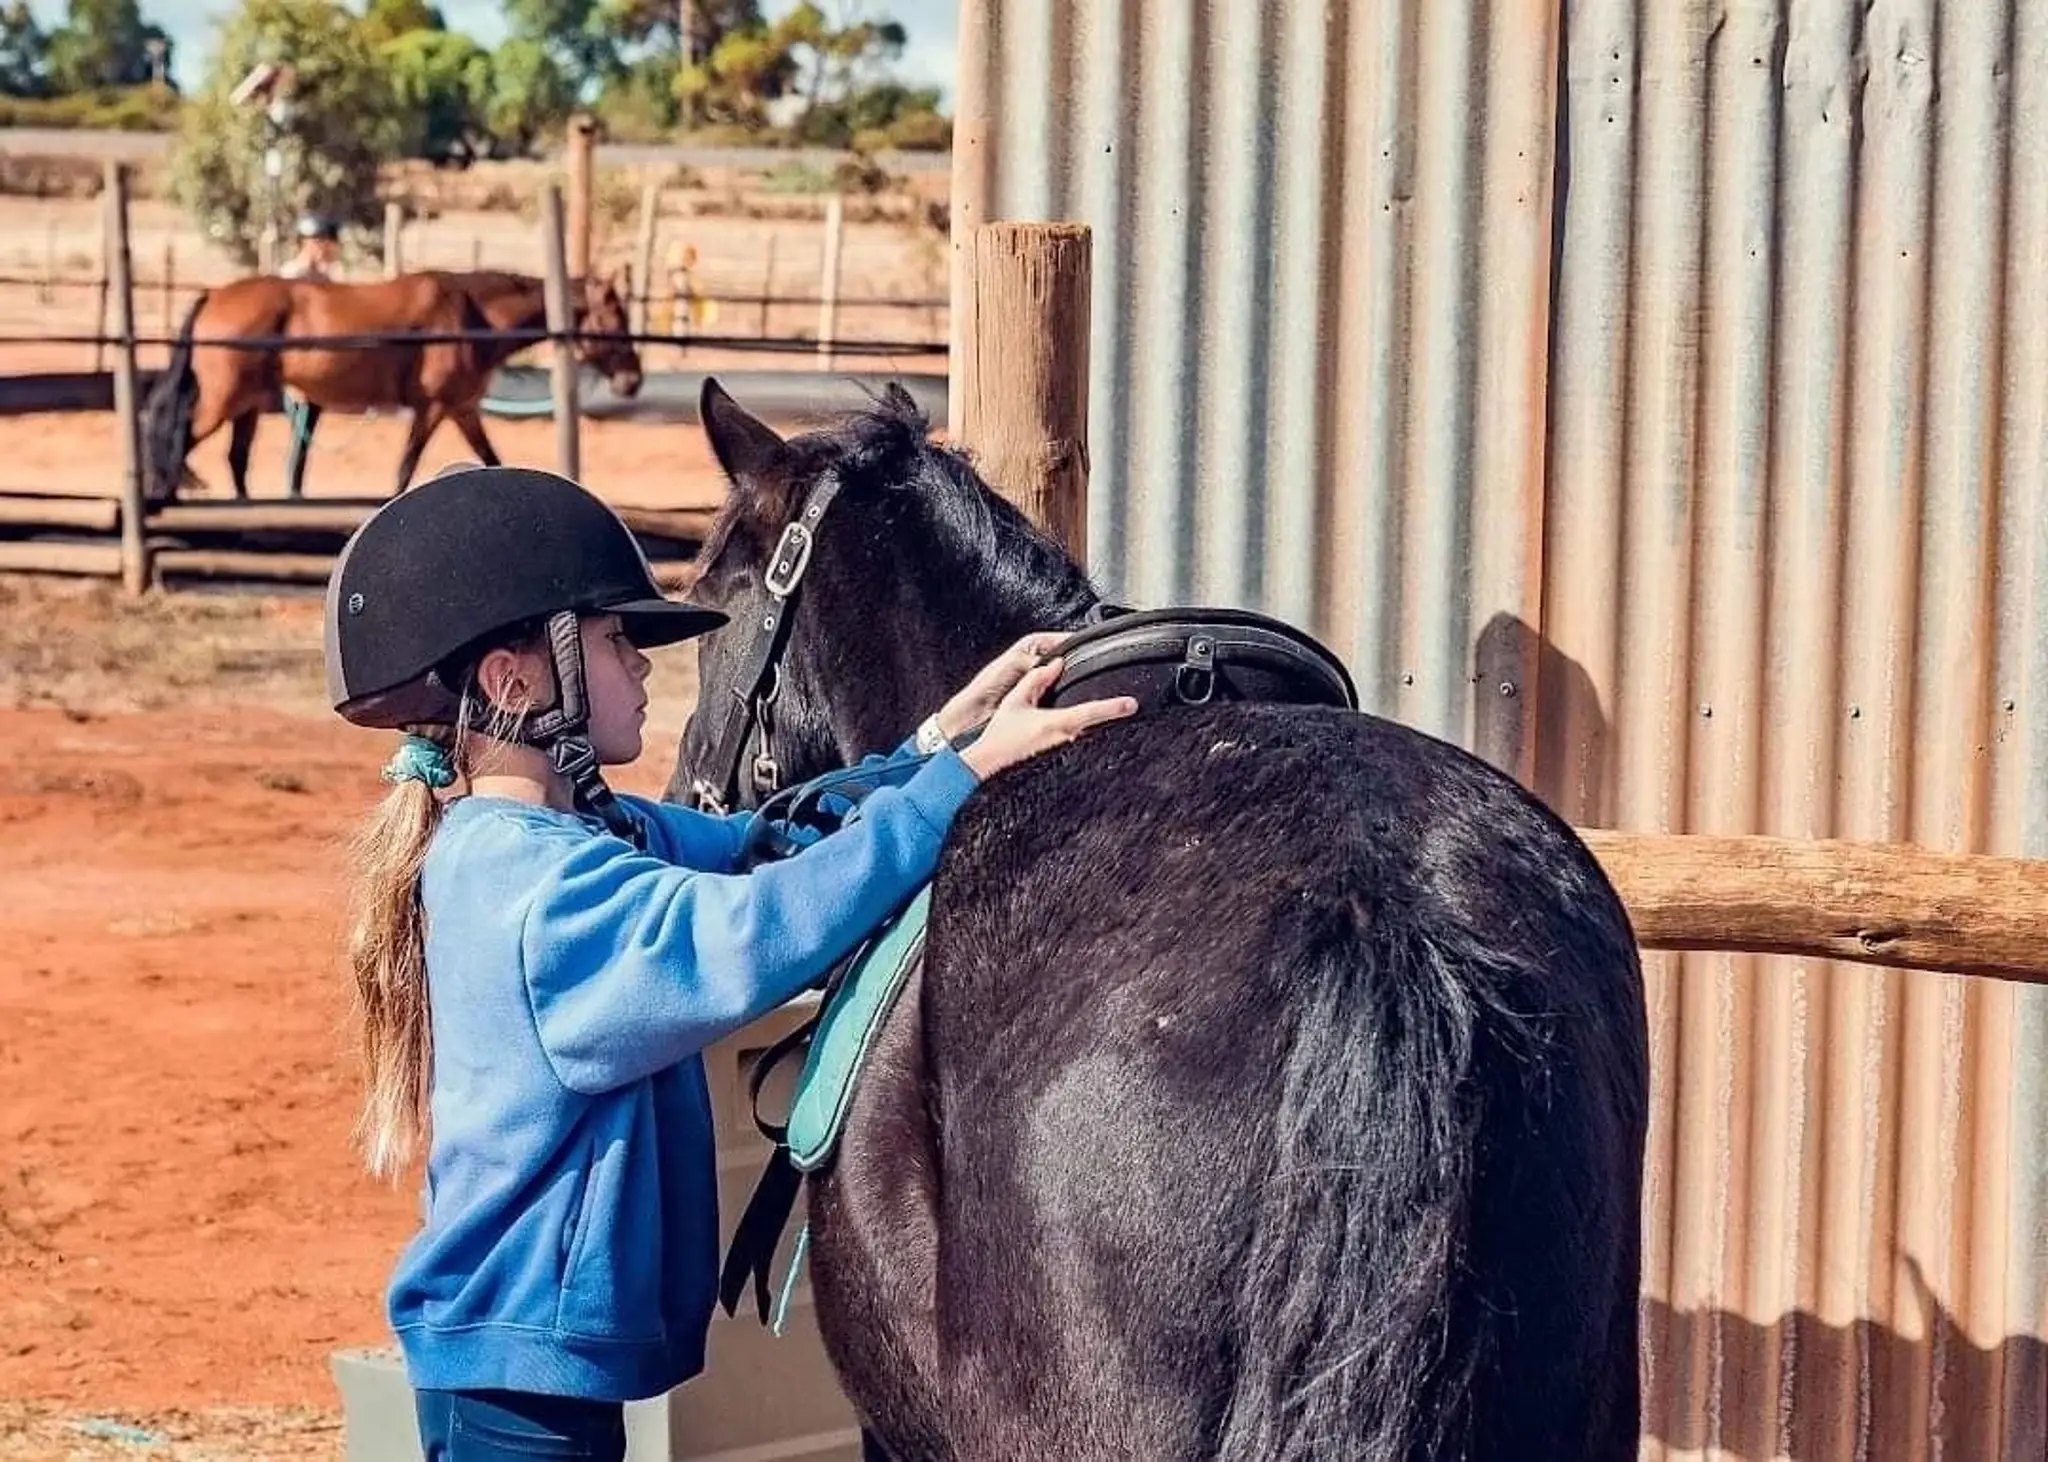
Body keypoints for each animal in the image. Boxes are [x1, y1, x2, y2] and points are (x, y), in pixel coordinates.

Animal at [140, 269, 641, 503]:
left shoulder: (462, 410)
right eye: (615, 317)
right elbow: (406, 467)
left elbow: (491, 460)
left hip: (244, 404)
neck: (469, 317)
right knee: (176, 437)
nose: (633, 380)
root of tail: (214, 295)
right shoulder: (433, 408)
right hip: (223, 401)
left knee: (235, 460)